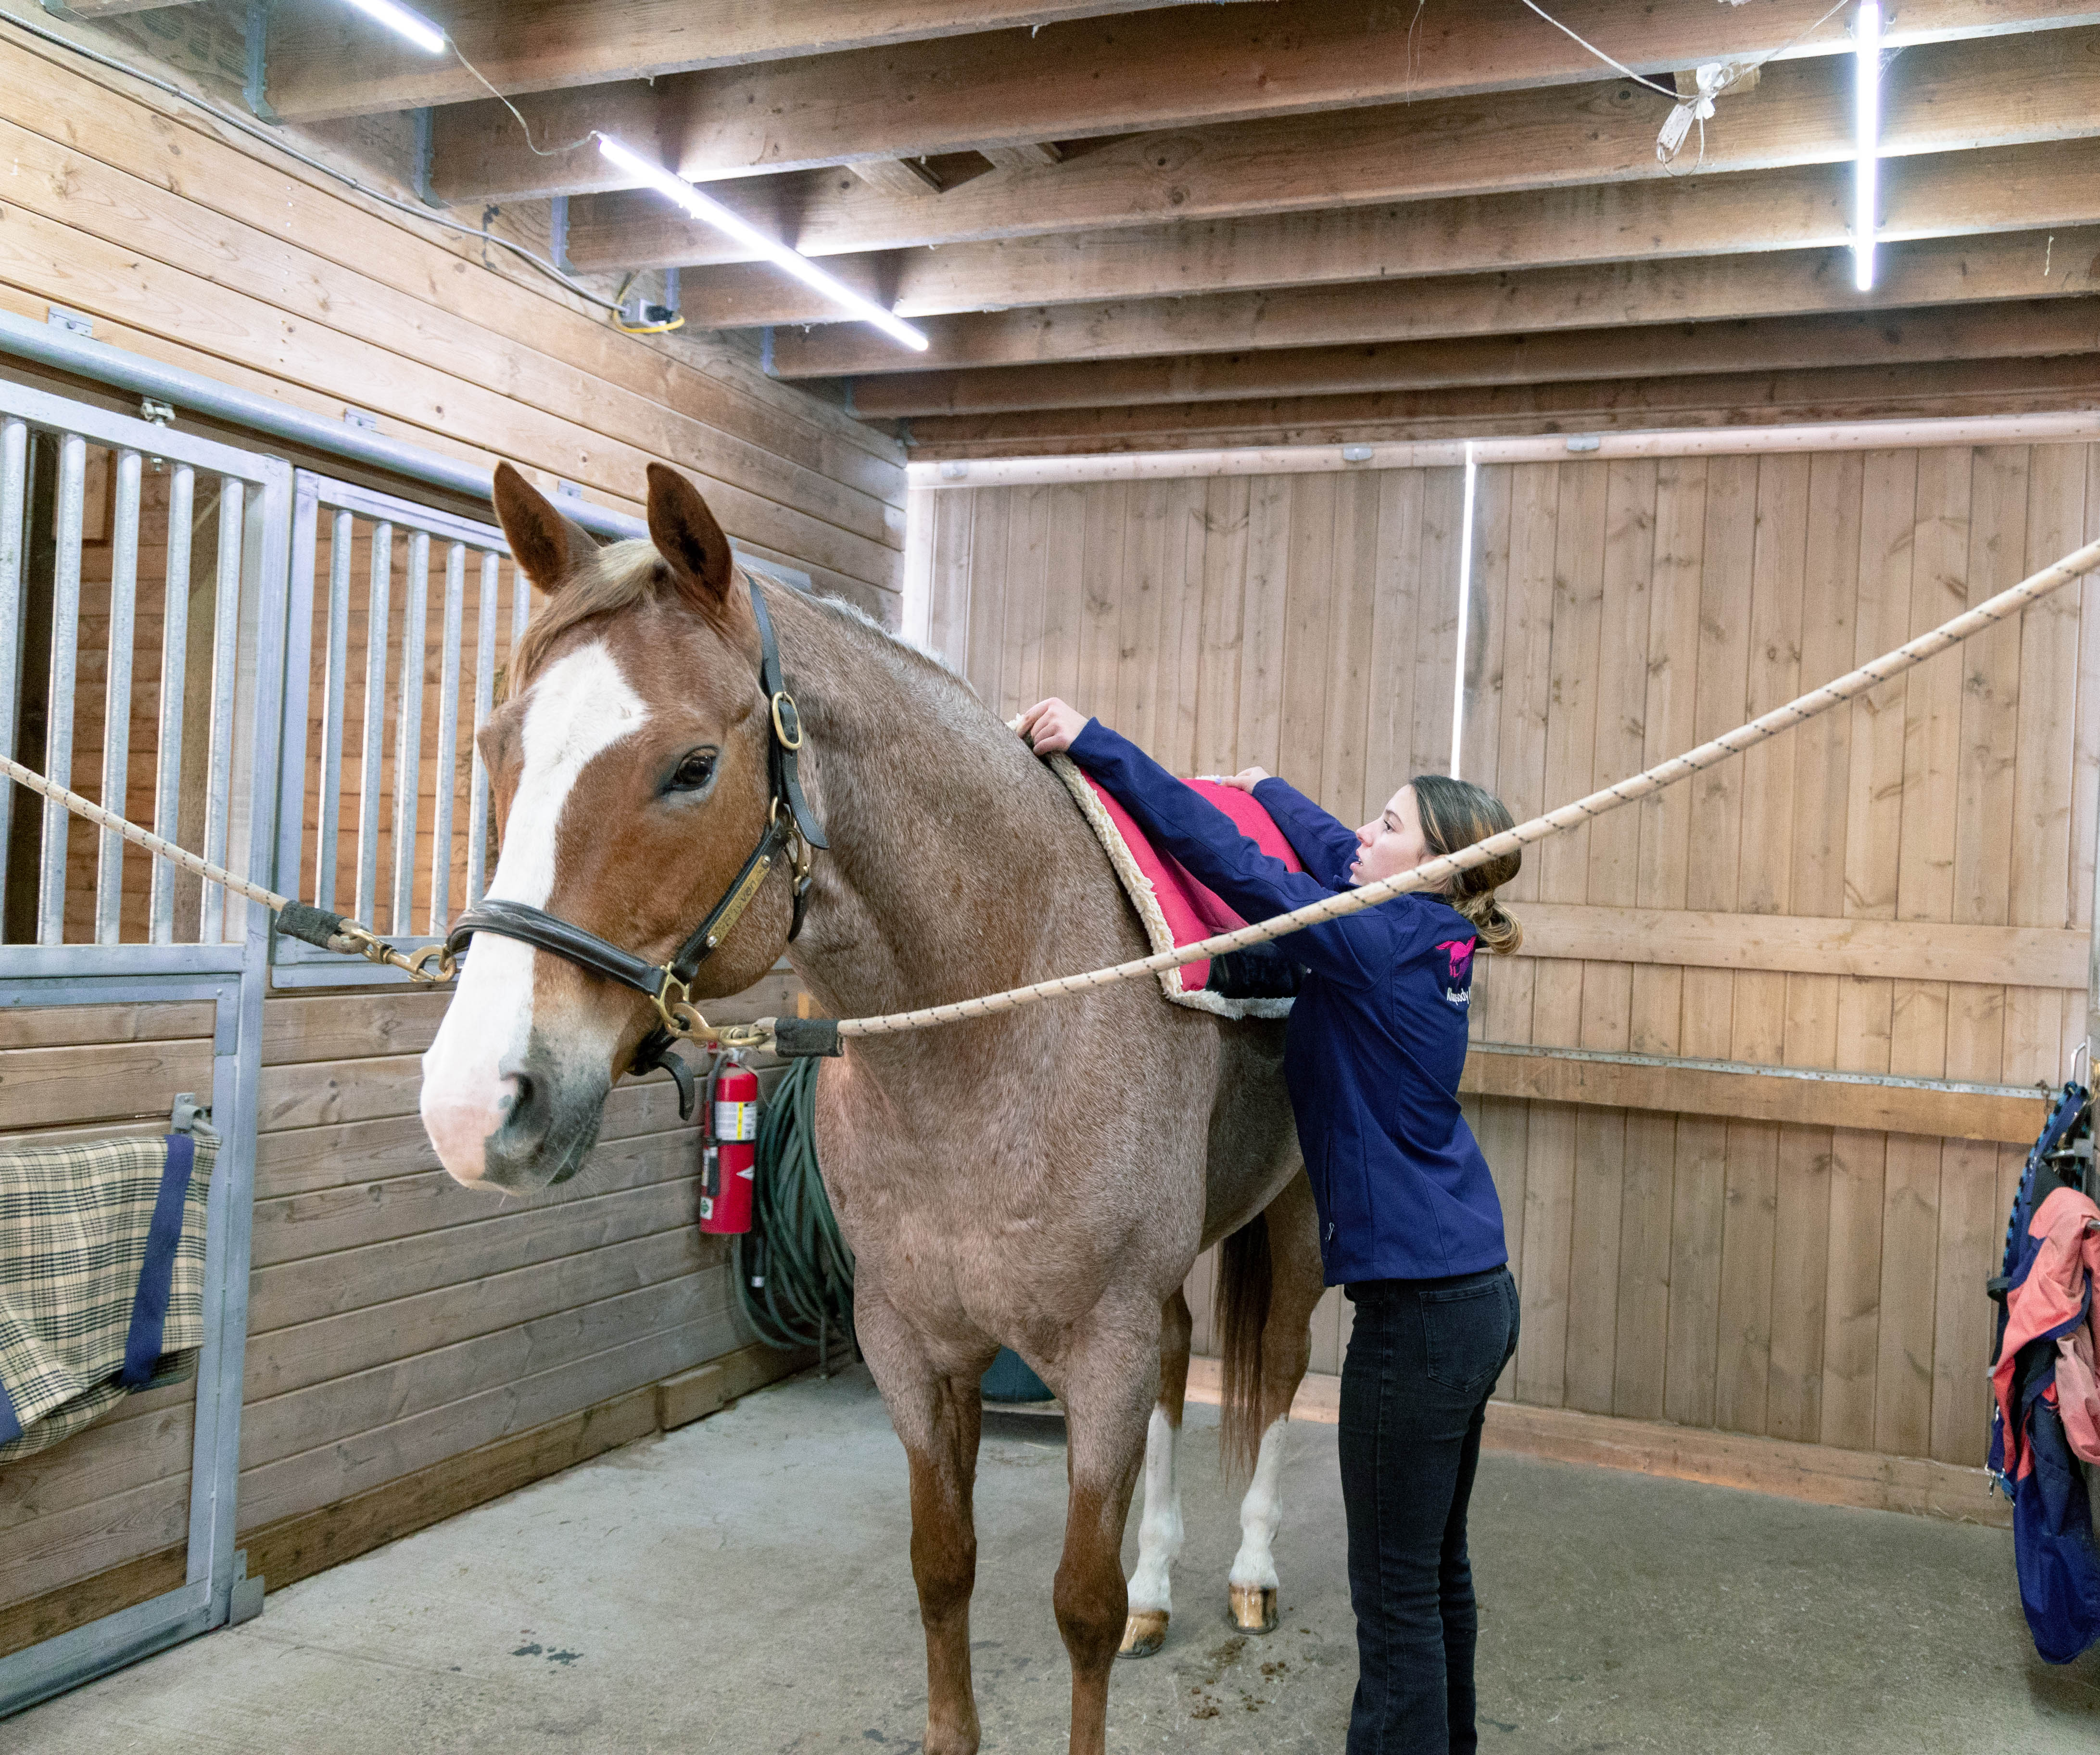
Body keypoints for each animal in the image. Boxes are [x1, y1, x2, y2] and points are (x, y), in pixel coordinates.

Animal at [416, 462, 1327, 1755]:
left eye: (691, 766)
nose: (472, 1100)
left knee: (1279, 1369)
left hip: (1294, 1222)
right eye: (496, 745)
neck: (998, 1020)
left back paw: (1249, 1573)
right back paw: (1163, 1586)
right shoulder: (912, 1344)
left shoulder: (1094, 1349)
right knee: (1178, 1369)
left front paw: (1128, 1602)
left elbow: (1079, 1608)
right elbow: (942, 1570)